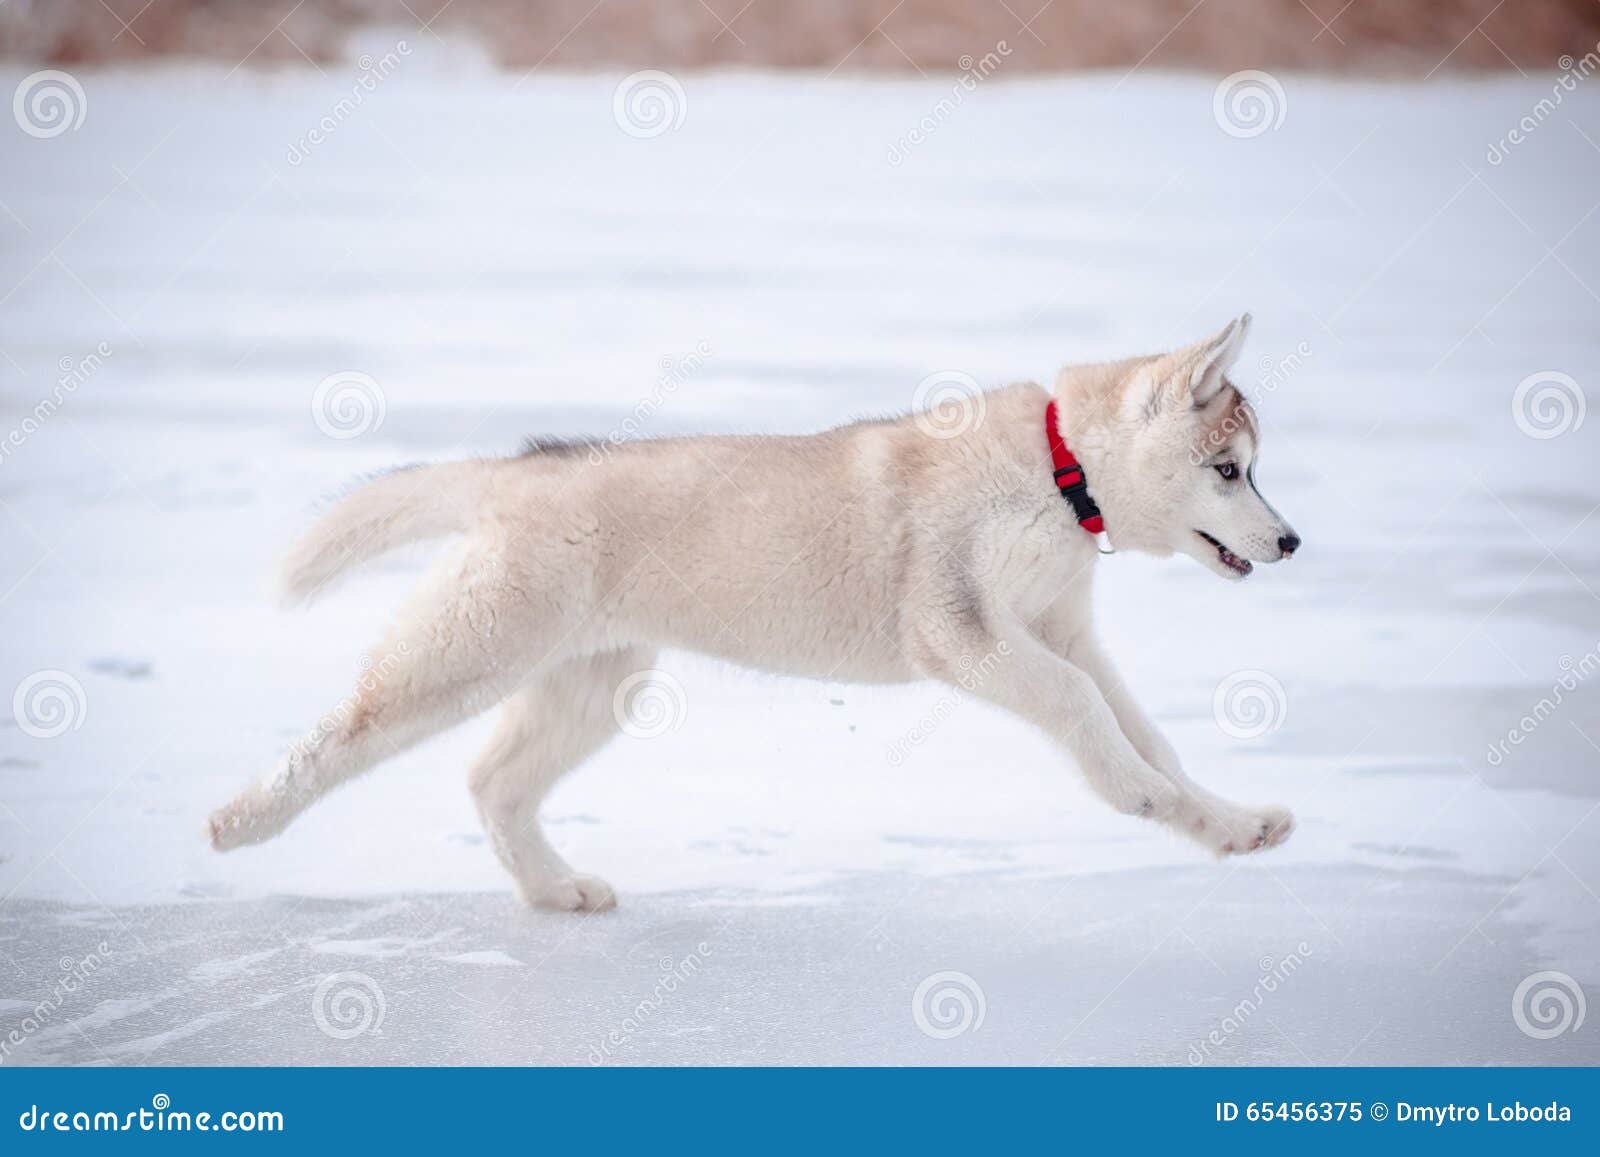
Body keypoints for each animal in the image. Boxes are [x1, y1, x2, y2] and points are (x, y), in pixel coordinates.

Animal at [209, 318, 1299, 915]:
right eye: (1227, 468)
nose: (1291, 541)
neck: (1057, 470)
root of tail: (515, 471)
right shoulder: (961, 630)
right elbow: (1084, 709)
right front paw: (1139, 795)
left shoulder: (1062, 628)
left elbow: (1146, 732)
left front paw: (1226, 822)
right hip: (468, 652)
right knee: (342, 735)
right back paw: (242, 819)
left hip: (599, 682)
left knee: (492, 782)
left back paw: (556, 890)